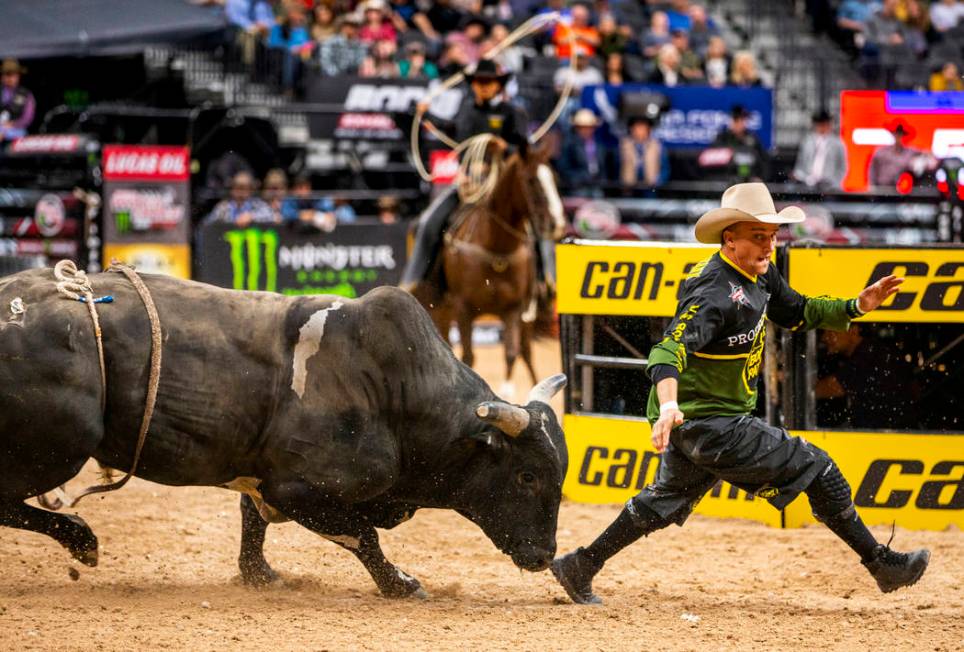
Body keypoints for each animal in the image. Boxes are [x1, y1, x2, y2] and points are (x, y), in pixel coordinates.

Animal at [0, 268, 564, 596]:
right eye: (527, 476)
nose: (544, 556)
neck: (391, 389)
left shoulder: (264, 476)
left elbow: (253, 519)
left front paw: (259, 575)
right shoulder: (298, 489)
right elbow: (361, 536)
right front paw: (402, 583)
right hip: (58, 446)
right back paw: (82, 539)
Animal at [406, 10, 572, 204]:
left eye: (489, 80)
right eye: (480, 80)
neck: (486, 106)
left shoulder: (519, 117)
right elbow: (450, 124)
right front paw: (421, 108)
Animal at [422, 145, 564, 394]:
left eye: (554, 178)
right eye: (530, 180)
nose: (556, 223)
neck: (496, 249)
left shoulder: (513, 309)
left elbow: (511, 353)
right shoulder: (463, 308)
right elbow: (467, 357)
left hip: (527, 316)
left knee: (526, 352)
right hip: (442, 309)